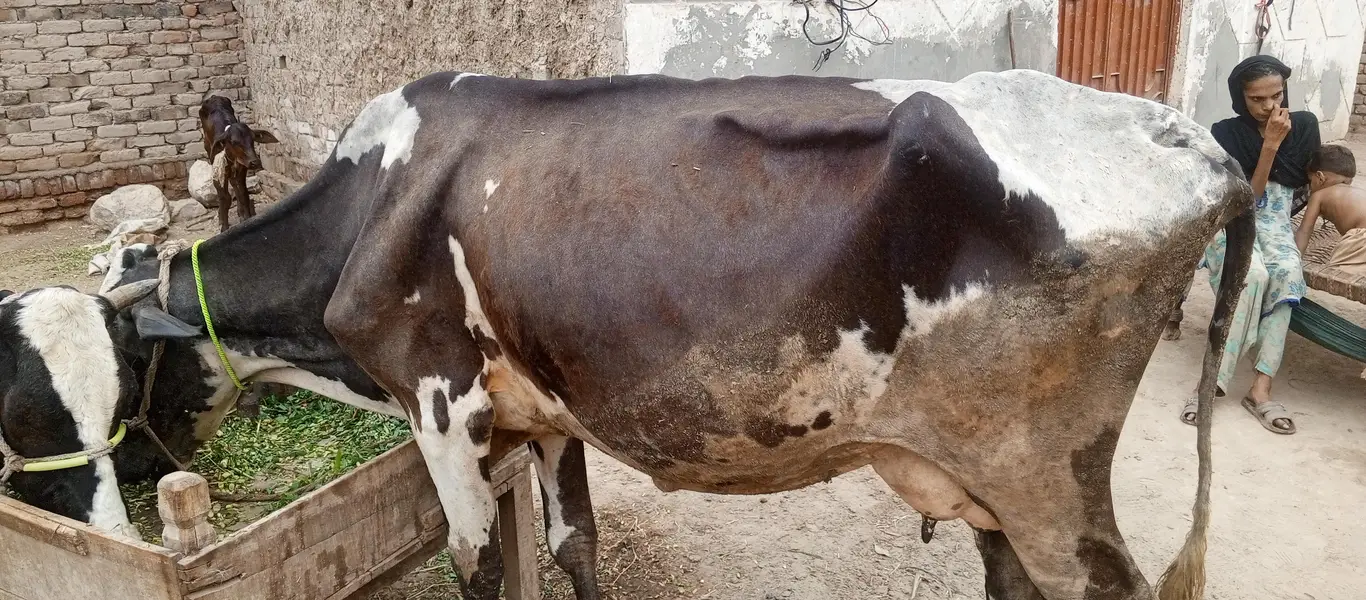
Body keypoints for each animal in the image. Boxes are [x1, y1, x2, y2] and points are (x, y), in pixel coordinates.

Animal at [199, 95, 279, 233]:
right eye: (234, 142)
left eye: (252, 139)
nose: (255, 162)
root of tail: (214, 96)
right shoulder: (218, 173)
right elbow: (225, 198)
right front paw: (224, 226)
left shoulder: (242, 169)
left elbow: (243, 193)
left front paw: (246, 217)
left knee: (235, 185)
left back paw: (240, 212)